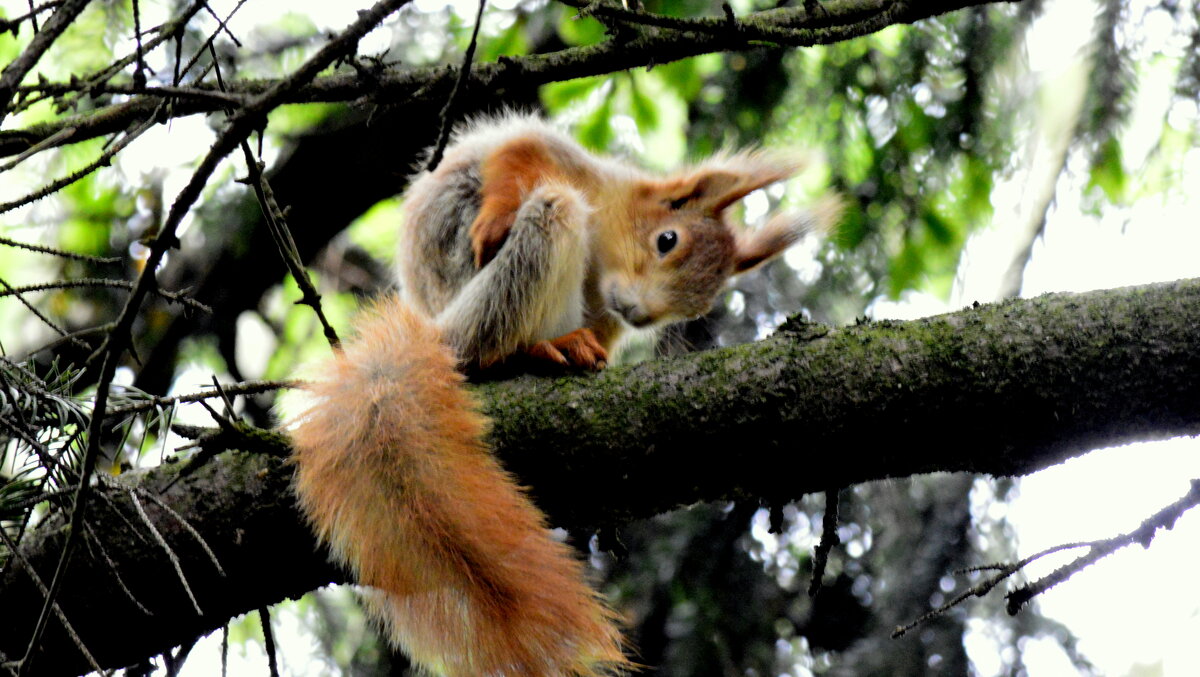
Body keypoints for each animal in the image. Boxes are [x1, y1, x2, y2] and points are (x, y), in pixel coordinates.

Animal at [285, 116, 840, 677]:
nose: (639, 312)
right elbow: (517, 152)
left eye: (696, 306)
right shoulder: (570, 166)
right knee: (492, 328)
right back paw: (528, 348)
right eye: (667, 239)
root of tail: (437, 330)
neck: (602, 258)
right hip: (508, 265)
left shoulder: (604, 317)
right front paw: (495, 216)